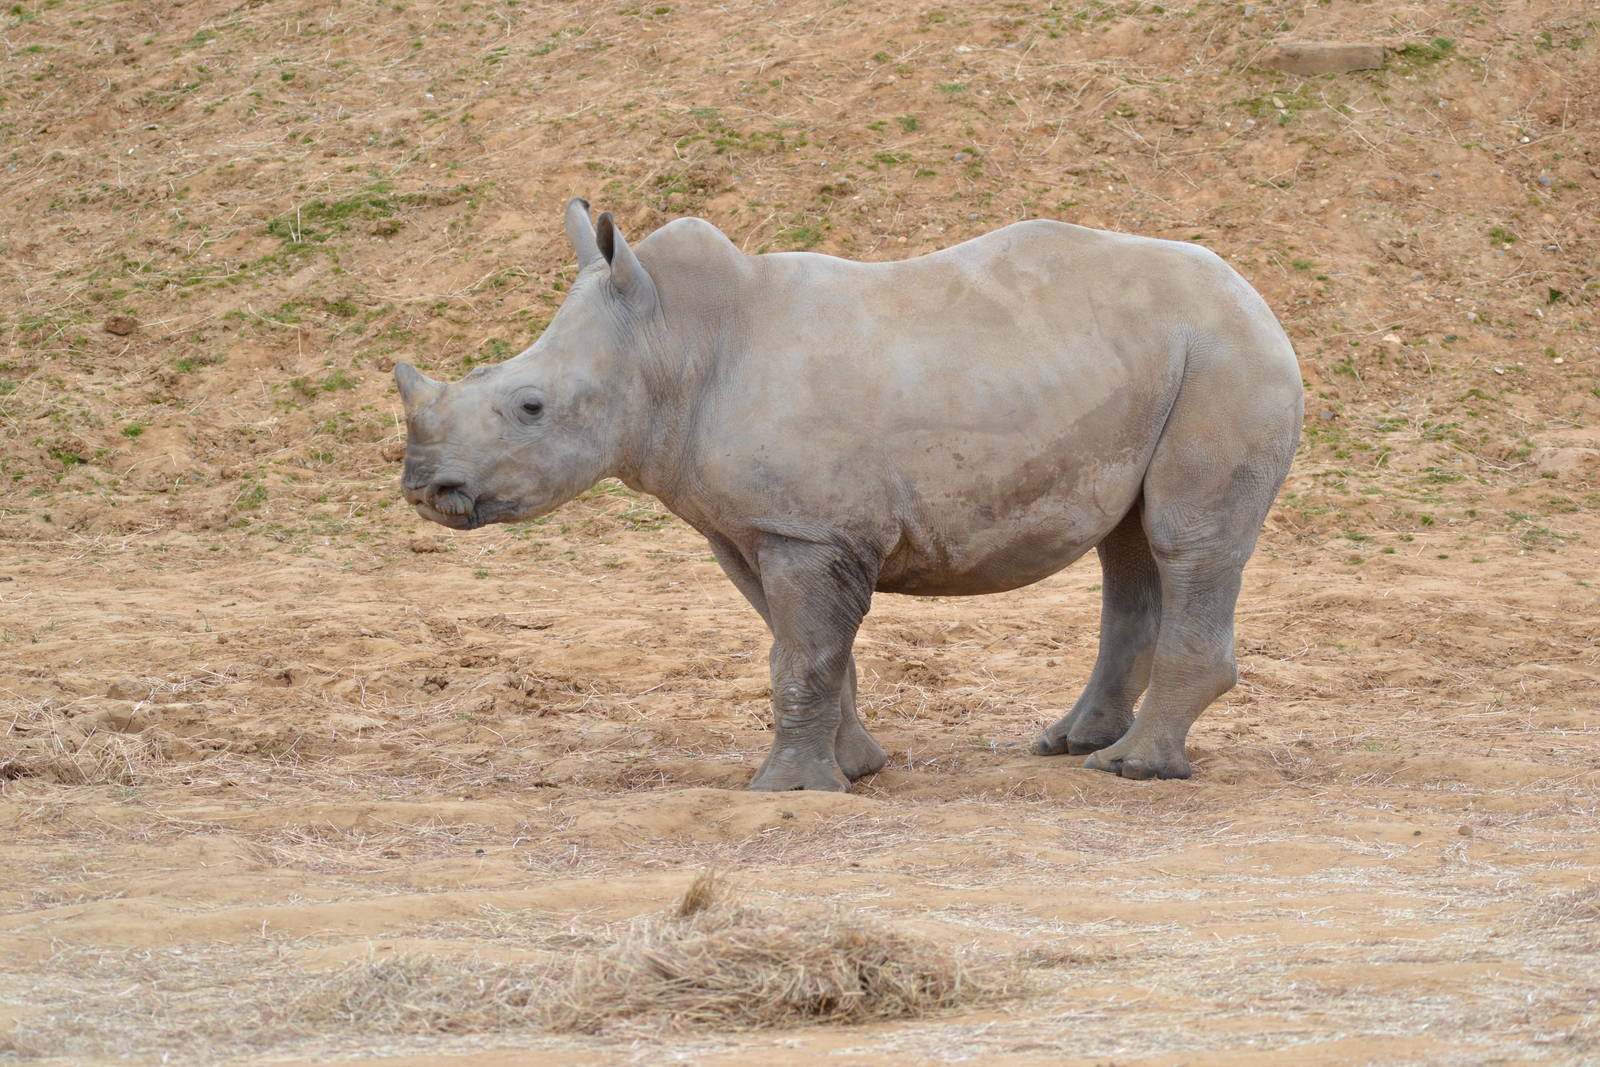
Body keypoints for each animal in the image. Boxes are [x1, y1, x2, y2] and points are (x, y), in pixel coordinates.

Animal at [395, 199, 1303, 790]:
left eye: (530, 406)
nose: (424, 488)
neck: (667, 341)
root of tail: (1258, 297)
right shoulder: (753, 525)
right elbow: (805, 649)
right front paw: (856, 768)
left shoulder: (807, 529)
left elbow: (802, 653)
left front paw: (786, 790)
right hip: (1164, 362)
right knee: (1129, 548)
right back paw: (1070, 745)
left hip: (1224, 357)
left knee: (1187, 541)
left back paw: (1133, 769)